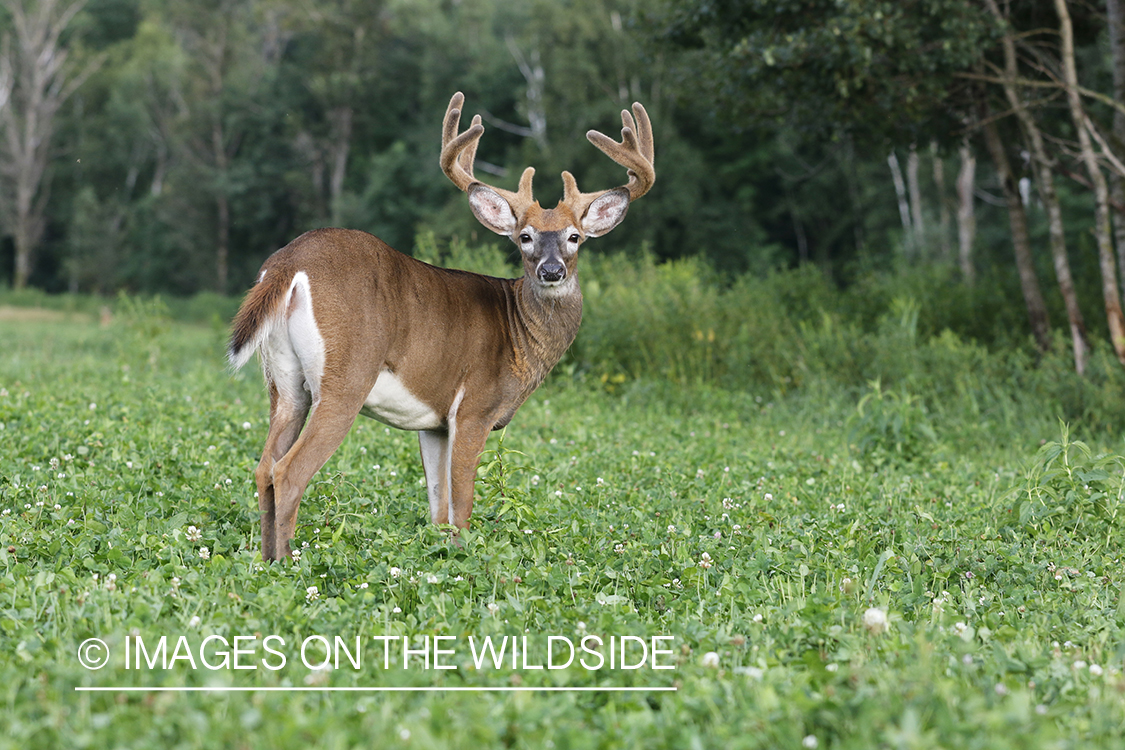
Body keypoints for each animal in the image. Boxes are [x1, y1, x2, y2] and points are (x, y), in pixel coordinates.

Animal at [227, 92, 655, 560]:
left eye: (574, 236)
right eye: (524, 237)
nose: (551, 270)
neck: (518, 332)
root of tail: (288, 264)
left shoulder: (433, 423)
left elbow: (438, 507)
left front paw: (443, 554)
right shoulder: (474, 408)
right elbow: (462, 504)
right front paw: (466, 557)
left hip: (285, 383)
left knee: (264, 468)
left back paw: (265, 561)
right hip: (345, 378)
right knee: (288, 471)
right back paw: (289, 564)